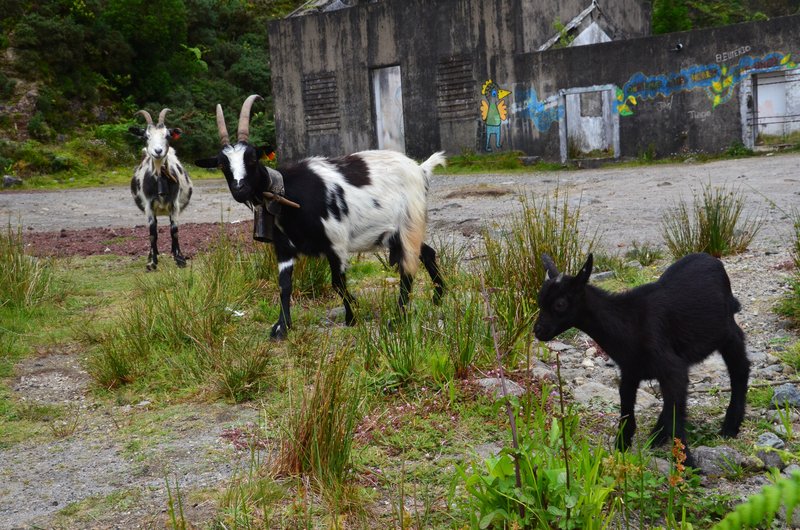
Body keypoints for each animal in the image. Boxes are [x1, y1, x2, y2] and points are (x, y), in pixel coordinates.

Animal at [129, 108, 193, 271]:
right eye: (146, 136)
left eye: (167, 135)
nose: (158, 151)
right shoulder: (149, 205)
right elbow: (152, 232)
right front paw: (152, 262)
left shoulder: (174, 205)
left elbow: (174, 231)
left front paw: (180, 259)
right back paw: (152, 255)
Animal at [195, 95, 446, 339]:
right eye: (222, 164)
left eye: (252, 159)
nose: (240, 189)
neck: (287, 193)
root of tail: (421, 169)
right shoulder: (284, 248)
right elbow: (284, 285)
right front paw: (282, 328)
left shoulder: (336, 242)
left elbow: (337, 283)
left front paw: (352, 317)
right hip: (396, 232)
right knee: (427, 253)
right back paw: (438, 297)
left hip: (409, 223)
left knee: (408, 269)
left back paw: (398, 317)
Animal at [533, 252, 749, 466]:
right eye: (540, 300)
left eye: (560, 304)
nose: (538, 331)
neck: (628, 322)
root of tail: (710, 258)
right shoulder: (630, 371)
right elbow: (627, 410)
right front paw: (620, 449)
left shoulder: (671, 368)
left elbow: (676, 416)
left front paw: (687, 463)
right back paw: (657, 436)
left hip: (727, 331)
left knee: (740, 367)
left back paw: (730, 426)